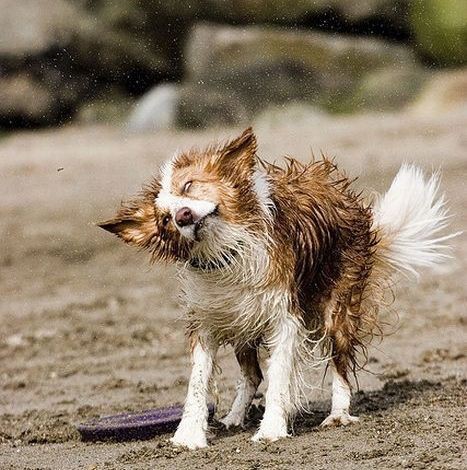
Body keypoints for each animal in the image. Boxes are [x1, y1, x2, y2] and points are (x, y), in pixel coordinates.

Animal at [98, 127, 458, 448]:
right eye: (164, 219)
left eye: (189, 186)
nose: (183, 215)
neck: (227, 253)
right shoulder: (208, 321)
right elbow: (198, 382)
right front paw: (189, 436)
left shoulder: (284, 318)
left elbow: (279, 376)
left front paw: (271, 430)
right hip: (241, 324)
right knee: (252, 375)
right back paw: (234, 417)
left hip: (337, 309)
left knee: (339, 364)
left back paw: (338, 414)